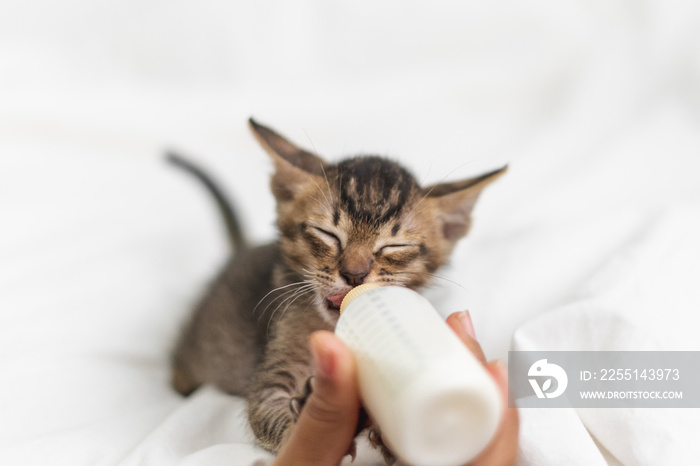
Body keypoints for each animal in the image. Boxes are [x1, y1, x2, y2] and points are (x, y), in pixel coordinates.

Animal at [170, 118, 508, 460]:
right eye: (328, 234)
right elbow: (269, 412)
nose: (354, 274)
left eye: (394, 246)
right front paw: (300, 429)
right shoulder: (272, 371)